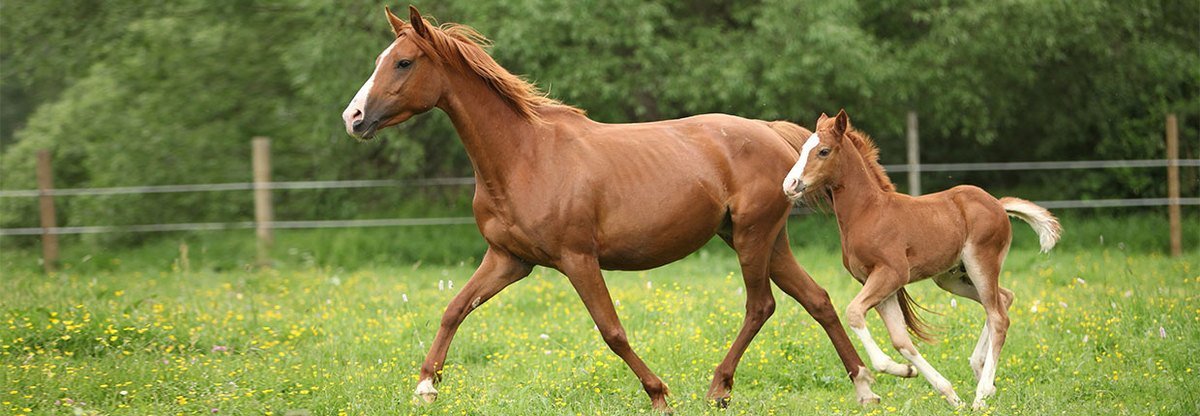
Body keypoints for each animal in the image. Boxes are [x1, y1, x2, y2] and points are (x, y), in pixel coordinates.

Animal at [343, 7, 878, 414]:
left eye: (404, 63)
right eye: (382, 60)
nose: (353, 118)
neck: (523, 156)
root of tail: (770, 132)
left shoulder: (578, 258)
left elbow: (612, 332)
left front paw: (659, 394)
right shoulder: (508, 260)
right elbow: (454, 308)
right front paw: (425, 387)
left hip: (752, 237)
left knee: (760, 305)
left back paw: (719, 388)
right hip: (764, 241)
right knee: (817, 300)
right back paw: (863, 387)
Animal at [782, 109, 1065, 410]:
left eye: (823, 151)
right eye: (802, 149)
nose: (790, 184)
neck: (867, 212)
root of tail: (998, 204)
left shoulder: (891, 274)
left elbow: (855, 313)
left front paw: (891, 370)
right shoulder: (879, 285)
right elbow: (901, 341)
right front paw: (938, 388)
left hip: (981, 263)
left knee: (999, 316)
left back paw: (981, 394)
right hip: (952, 278)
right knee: (1004, 298)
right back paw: (979, 371)